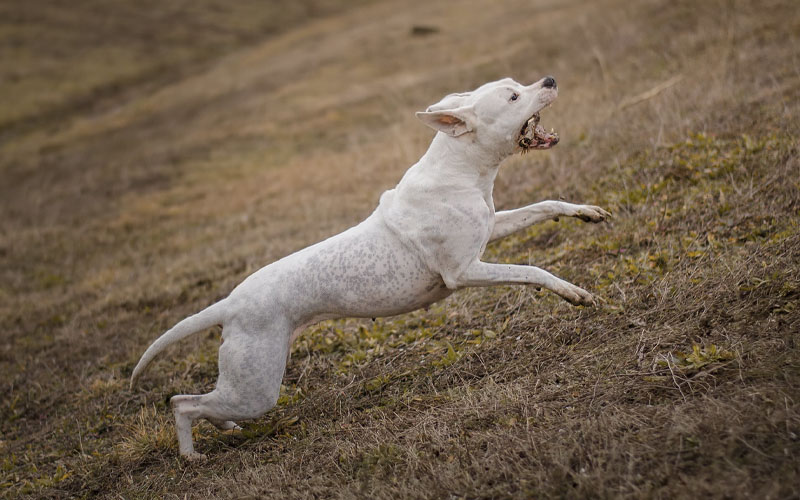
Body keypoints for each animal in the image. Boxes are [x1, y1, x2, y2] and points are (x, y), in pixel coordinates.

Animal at [131, 76, 608, 458]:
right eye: (512, 97)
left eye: (517, 83)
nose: (549, 79)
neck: (461, 168)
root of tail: (228, 303)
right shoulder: (465, 271)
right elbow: (533, 271)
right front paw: (574, 293)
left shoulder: (492, 229)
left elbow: (545, 205)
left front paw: (586, 212)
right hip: (256, 387)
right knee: (182, 403)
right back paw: (191, 456)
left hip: (247, 383)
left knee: (208, 403)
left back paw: (224, 428)